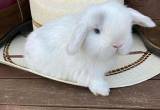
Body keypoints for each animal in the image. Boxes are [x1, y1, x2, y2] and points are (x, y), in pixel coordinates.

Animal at [24, 0, 155, 96]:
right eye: (96, 31)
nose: (117, 44)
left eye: (128, 27)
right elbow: (93, 80)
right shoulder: (88, 72)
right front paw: (103, 90)